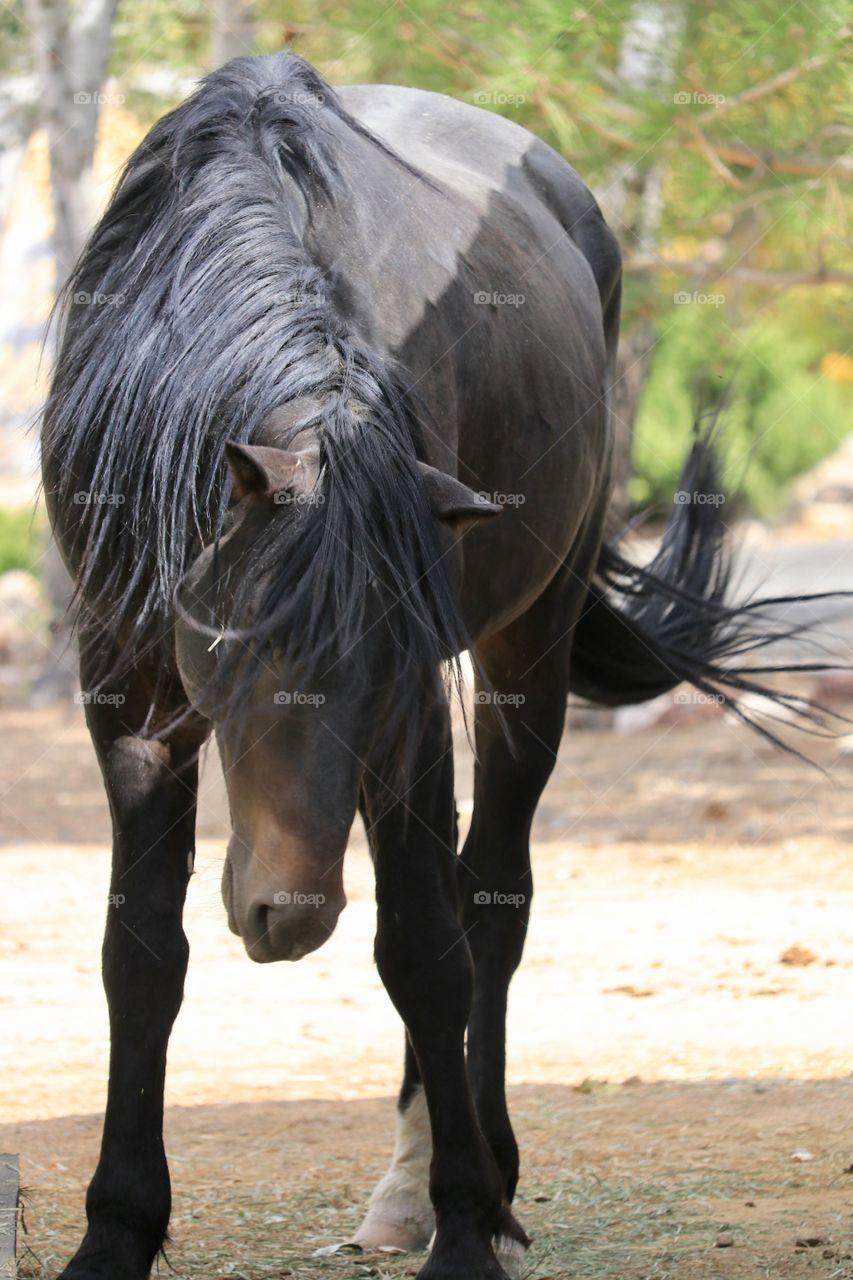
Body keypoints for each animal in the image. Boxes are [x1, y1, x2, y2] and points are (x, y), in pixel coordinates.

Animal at [40, 52, 830, 1280]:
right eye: (228, 640)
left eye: (386, 654)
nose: (288, 914)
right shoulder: (123, 689)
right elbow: (141, 955)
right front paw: (115, 1230)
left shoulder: (414, 704)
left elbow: (424, 950)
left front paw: (463, 1223)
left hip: (526, 655)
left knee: (484, 902)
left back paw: (457, 1182)